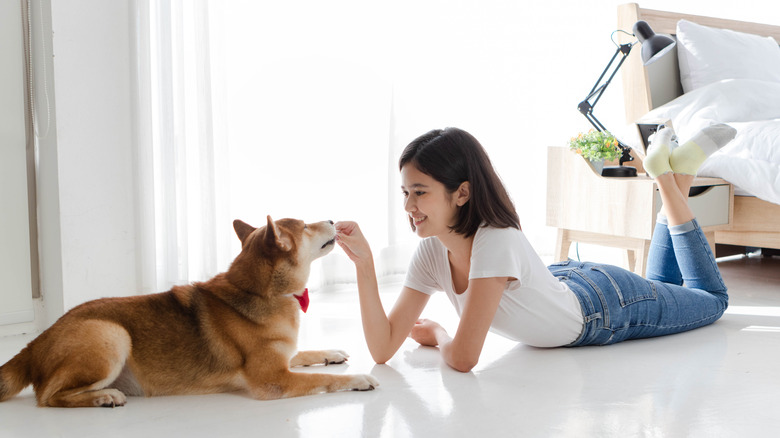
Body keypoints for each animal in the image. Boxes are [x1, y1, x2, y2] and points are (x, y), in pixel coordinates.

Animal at [0, 216, 378, 408]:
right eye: (306, 226)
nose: (331, 218)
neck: (258, 291)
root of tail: (37, 341)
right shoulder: (275, 380)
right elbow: (324, 381)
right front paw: (359, 378)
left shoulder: (283, 356)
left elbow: (303, 352)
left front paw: (330, 352)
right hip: (112, 334)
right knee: (48, 396)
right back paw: (104, 397)